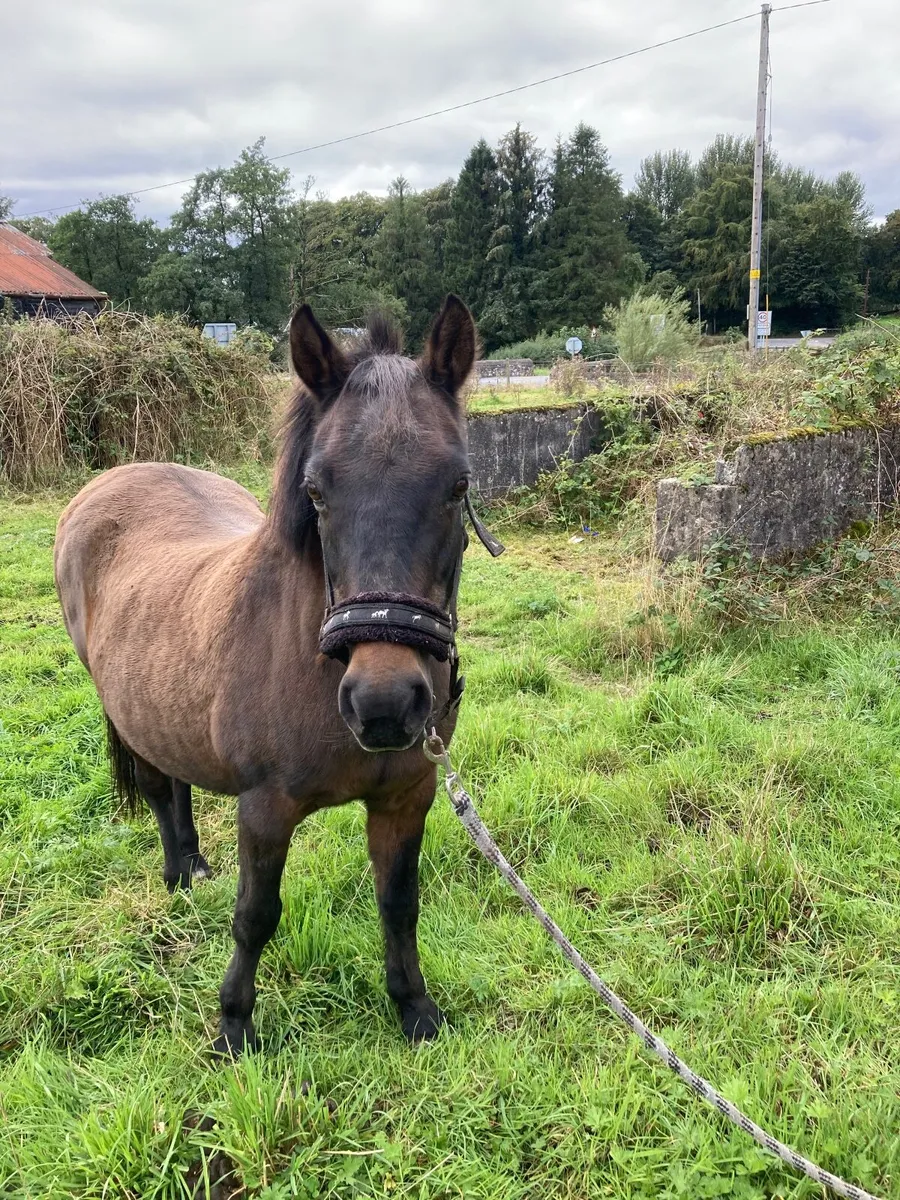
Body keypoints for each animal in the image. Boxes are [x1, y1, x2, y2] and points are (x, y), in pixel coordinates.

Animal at [54, 295, 498, 1055]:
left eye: (458, 485)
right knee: (156, 786)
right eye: (315, 491)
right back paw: (178, 875)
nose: (384, 703)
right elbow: (256, 914)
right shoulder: (265, 808)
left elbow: (399, 904)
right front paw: (234, 1028)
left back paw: (193, 864)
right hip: (123, 711)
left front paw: (414, 1008)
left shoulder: (406, 797)